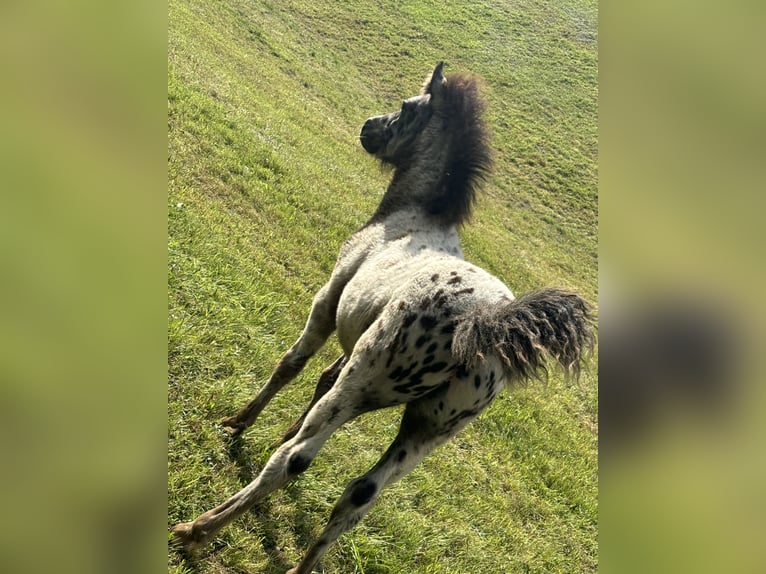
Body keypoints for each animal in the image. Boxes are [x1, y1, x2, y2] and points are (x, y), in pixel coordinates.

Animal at [172, 63, 592, 574]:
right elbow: (321, 382)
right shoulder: (358, 342)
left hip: (366, 383)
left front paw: (238, 423)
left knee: (295, 460)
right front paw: (283, 423)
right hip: (430, 427)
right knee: (362, 495)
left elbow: (292, 365)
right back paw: (297, 566)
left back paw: (198, 530)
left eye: (409, 108)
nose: (369, 127)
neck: (409, 219)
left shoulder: (330, 299)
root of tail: (486, 322)